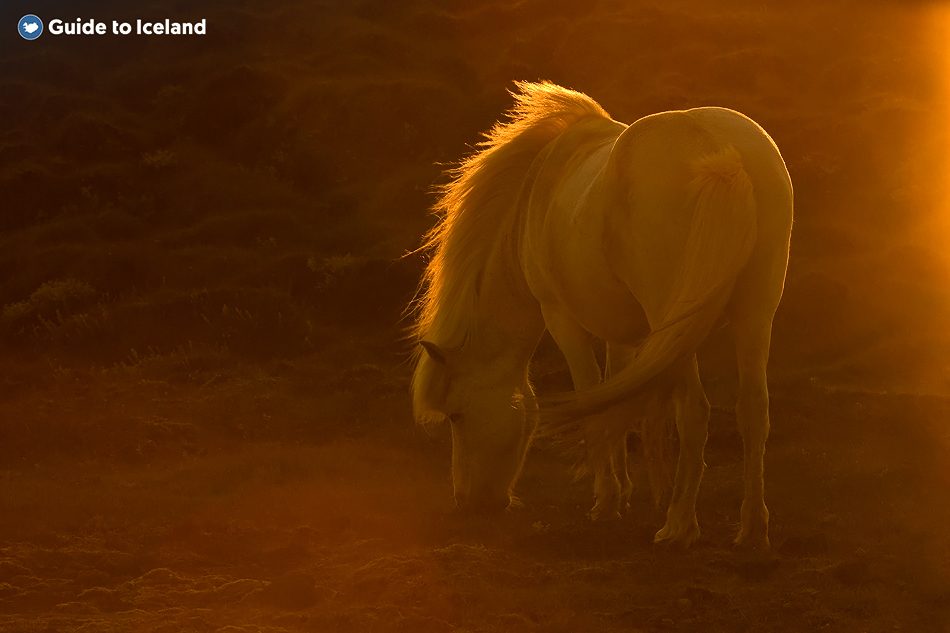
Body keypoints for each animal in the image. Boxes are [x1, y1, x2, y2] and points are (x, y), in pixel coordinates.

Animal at [409, 81, 792, 549]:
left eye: (456, 415)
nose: (469, 503)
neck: (537, 191)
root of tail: (723, 156)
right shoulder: (627, 334)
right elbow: (625, 404)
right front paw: (637, 493)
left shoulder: (562, 320)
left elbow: (594, 402)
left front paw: (608, 502)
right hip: (755, 315)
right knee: (753, 410)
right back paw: (752, 528)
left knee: (695, 412)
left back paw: (679, 526)